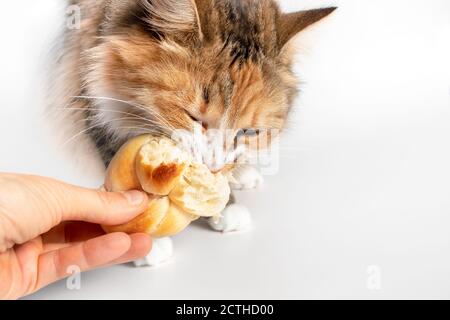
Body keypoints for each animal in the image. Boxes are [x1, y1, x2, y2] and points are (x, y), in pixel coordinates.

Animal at [53, 0, 334, 264]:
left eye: (249, 132)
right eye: (195, 118)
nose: (213, 166)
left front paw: (226, 205)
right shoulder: (92, 91)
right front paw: (146, 240)